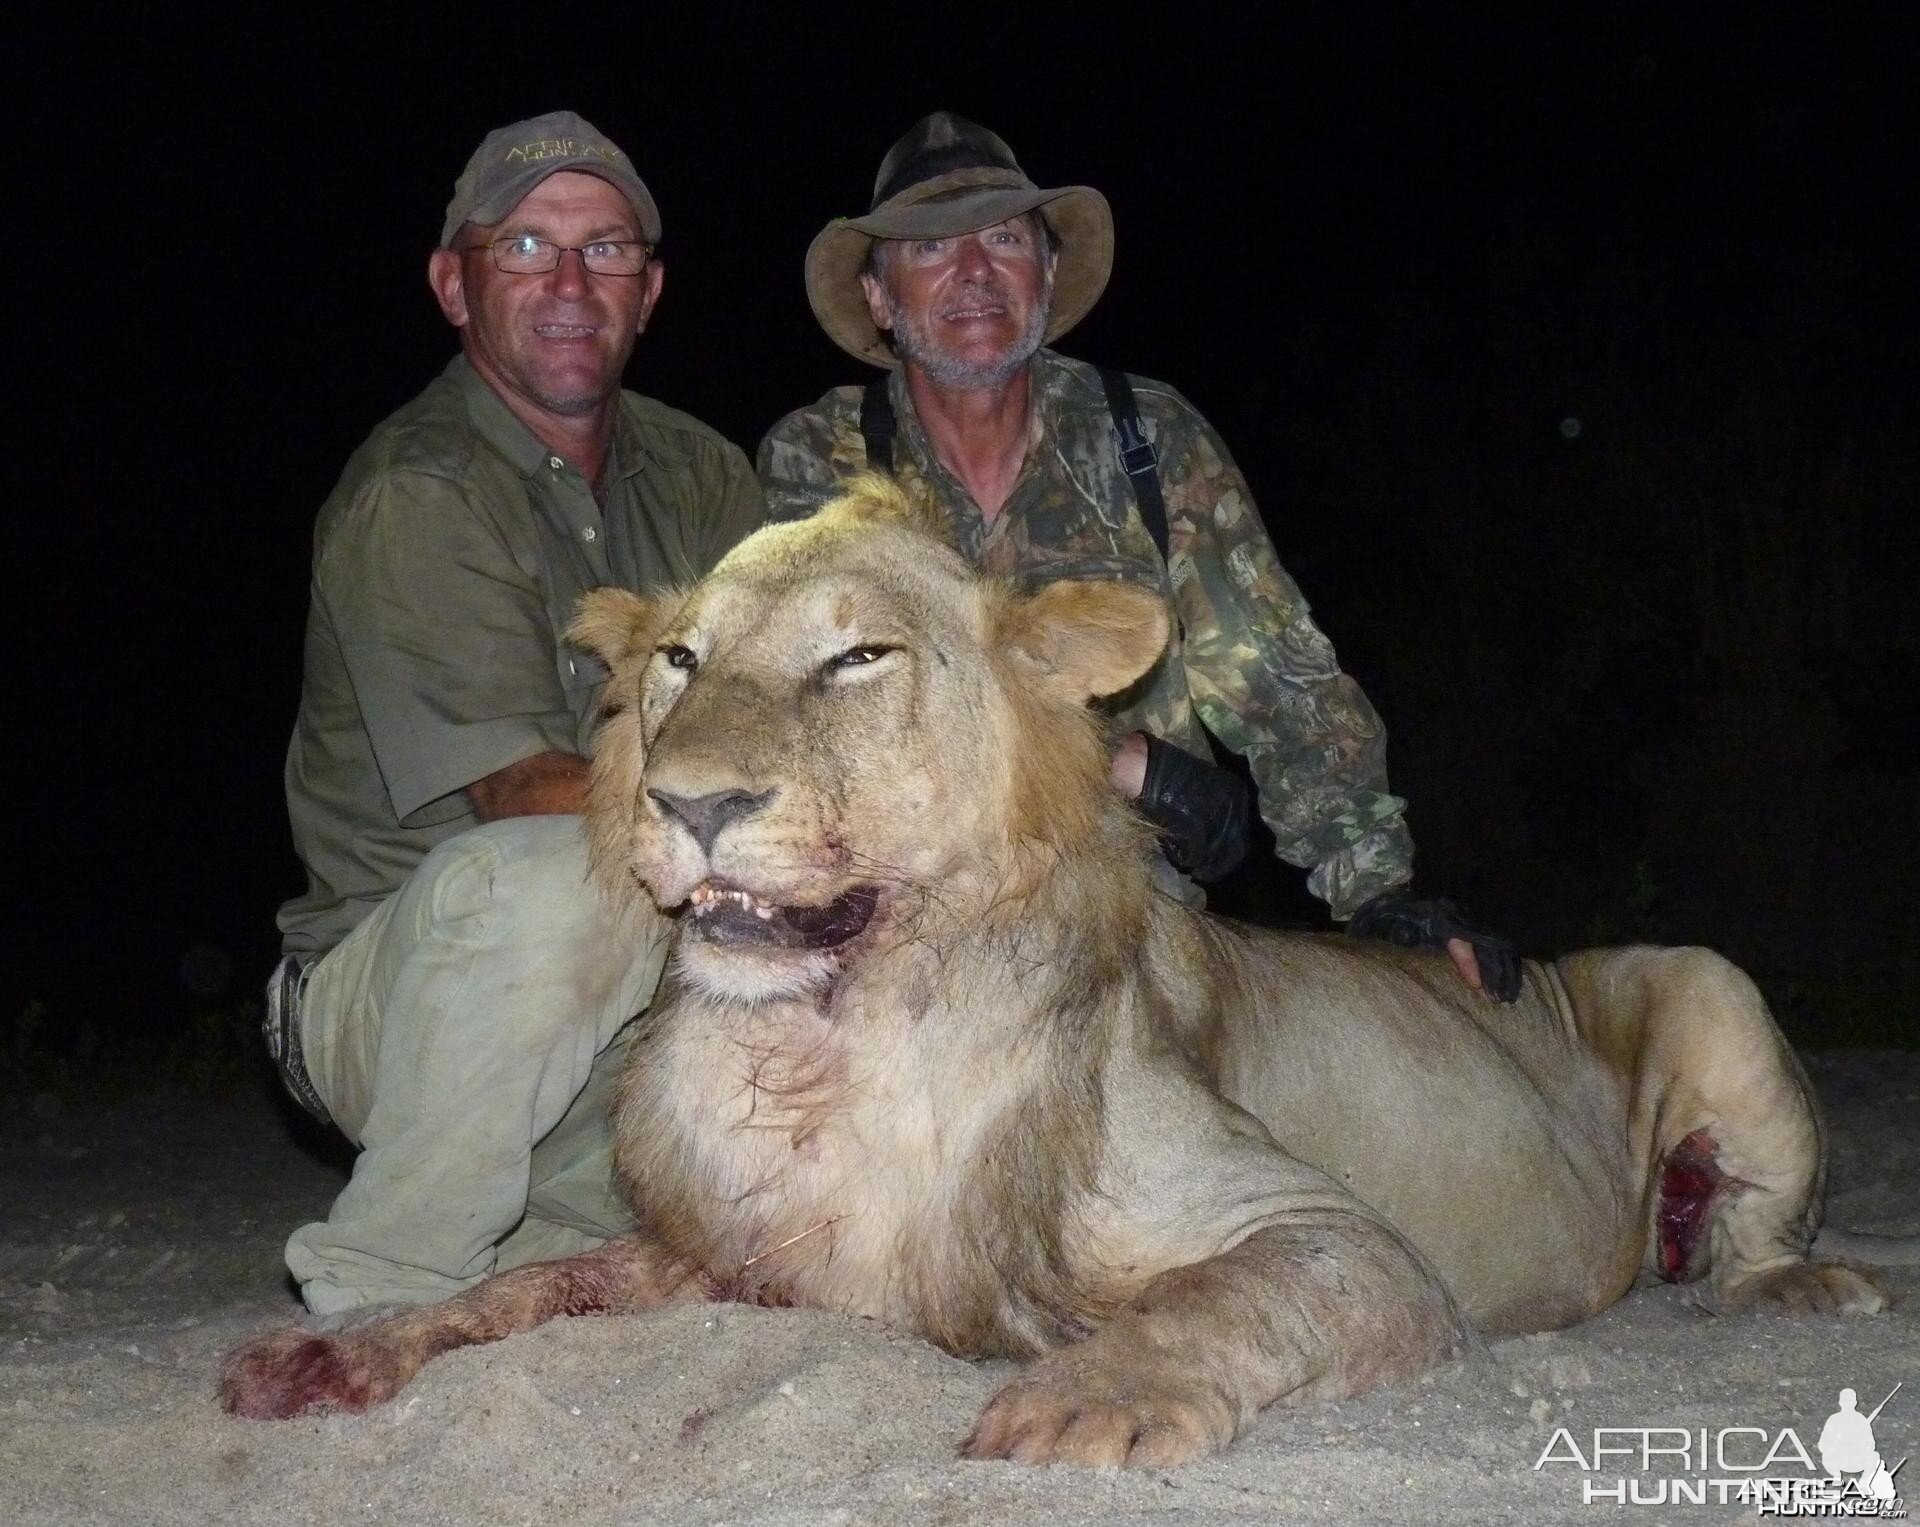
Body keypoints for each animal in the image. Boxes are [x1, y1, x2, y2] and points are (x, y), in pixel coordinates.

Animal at [217, 474, 1896, 1467]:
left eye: (858, 658)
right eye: (680, 662)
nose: (689, 801)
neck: (824, 1037)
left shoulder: (1343, 1239)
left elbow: (1221, 1300)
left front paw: (1079, 1394)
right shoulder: (729, 1252)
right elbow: (530, 1282)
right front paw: (344, 1346)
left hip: (1713, 978)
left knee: (1759, 1213)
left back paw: (1790, 1274)